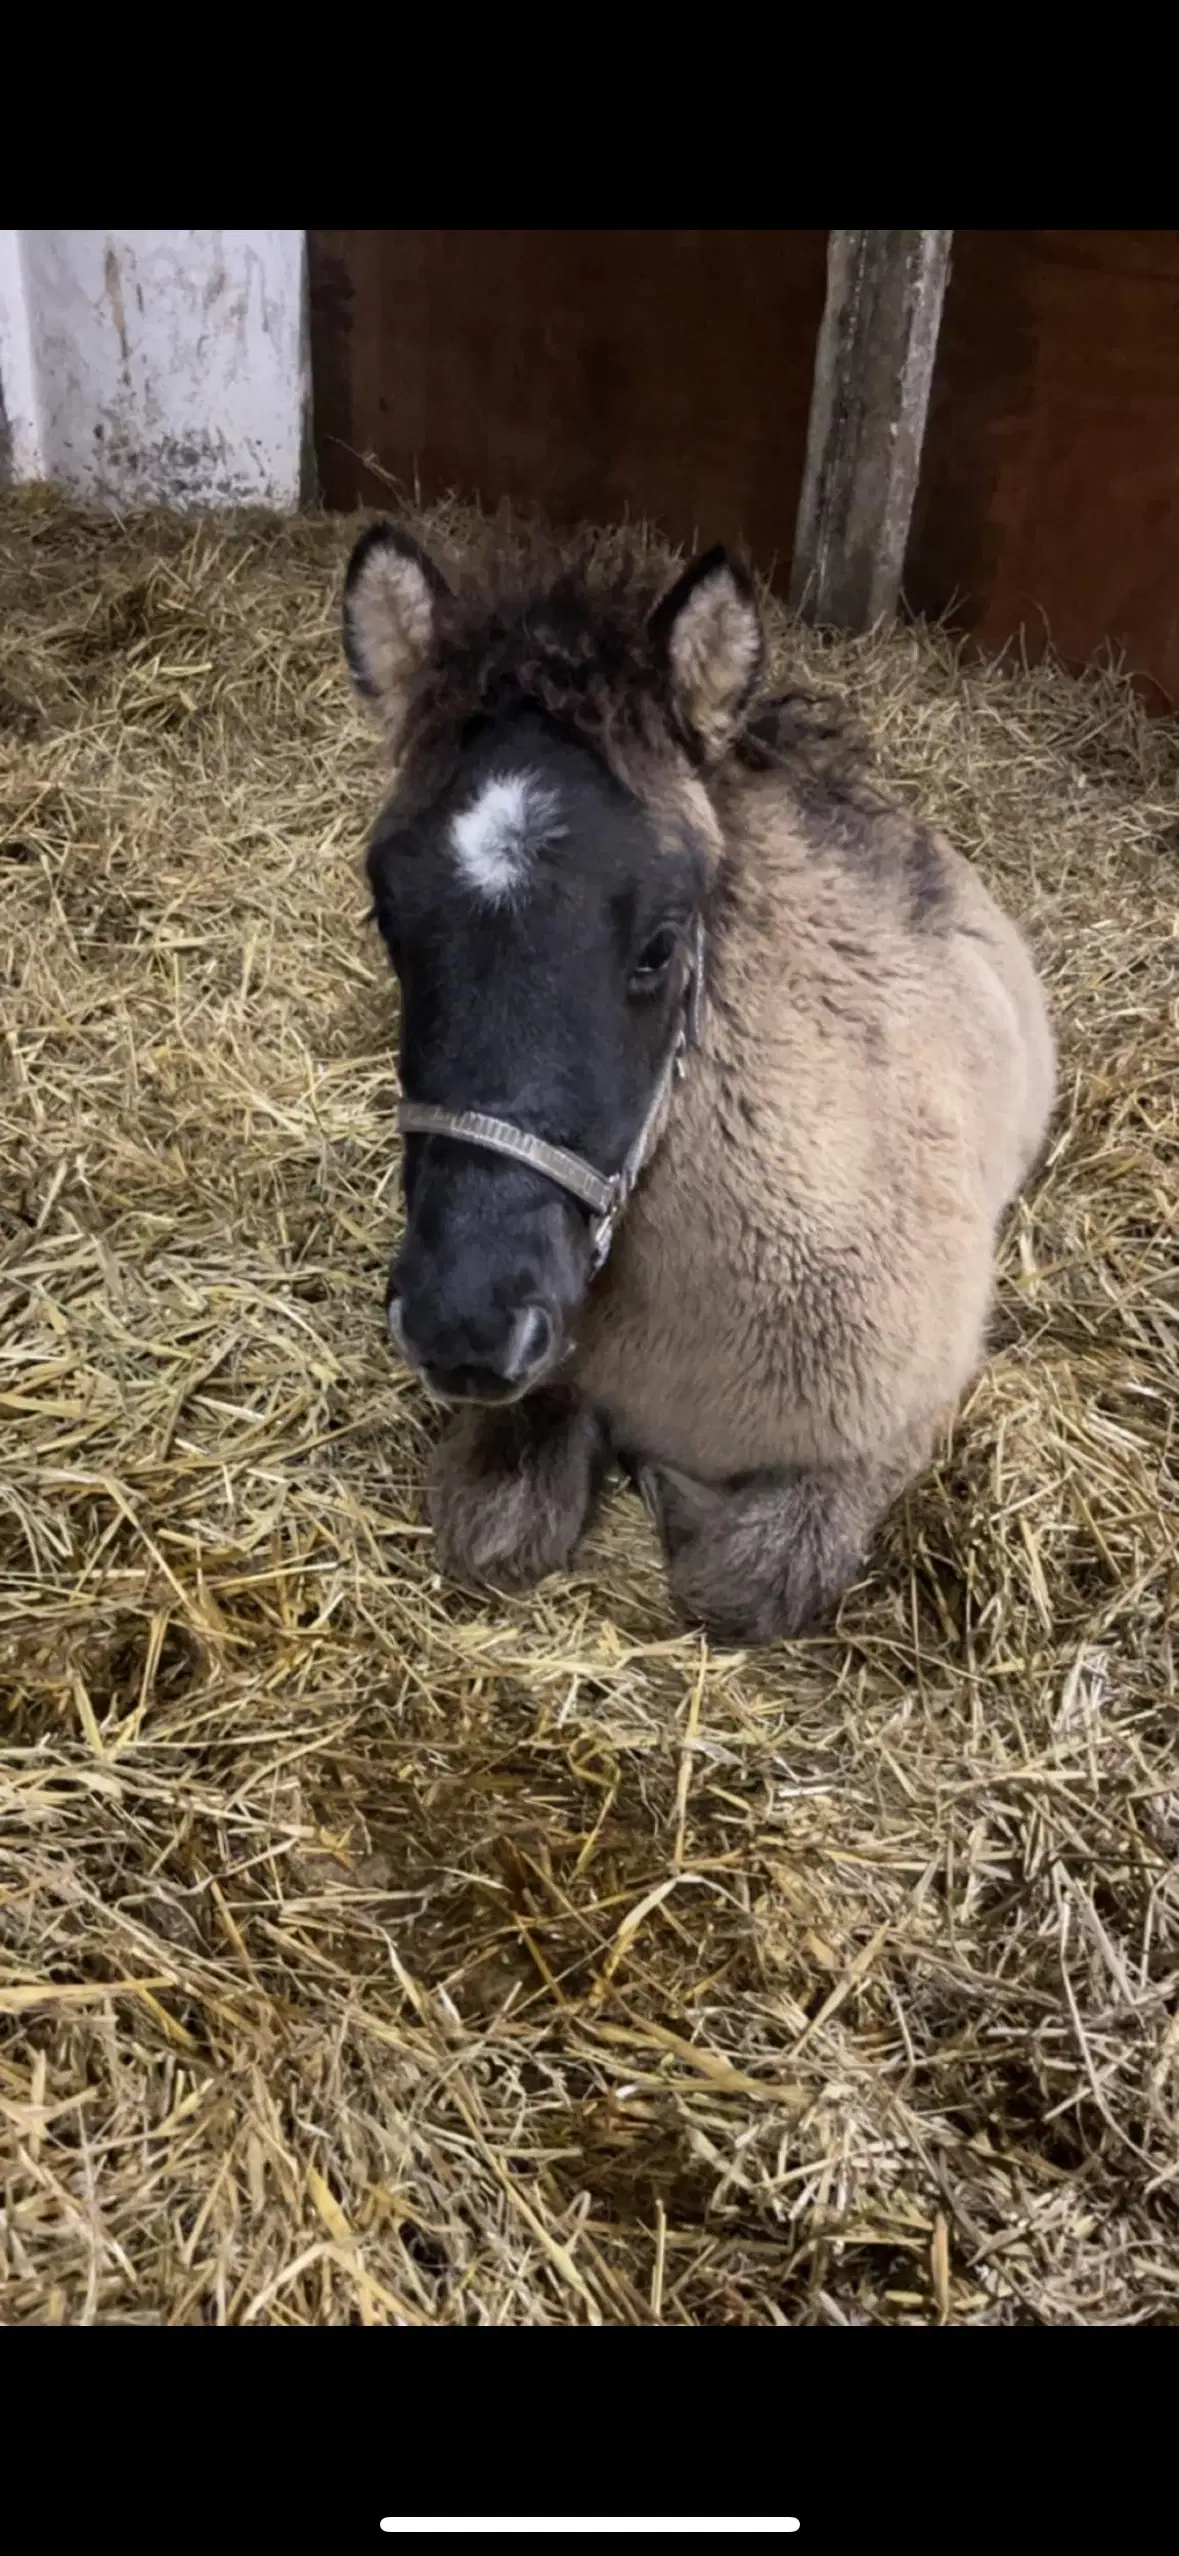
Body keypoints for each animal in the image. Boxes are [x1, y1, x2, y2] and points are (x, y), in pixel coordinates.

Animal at [345, 521, 1053, 1646]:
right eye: (386, 917)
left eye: (661, 943)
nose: (468, 1324)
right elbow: (501, 1527)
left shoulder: (889, 1436)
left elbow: (737, 1580)